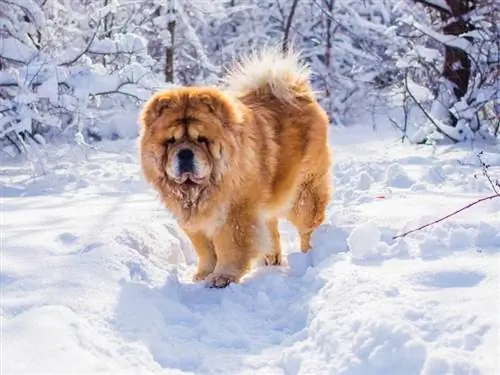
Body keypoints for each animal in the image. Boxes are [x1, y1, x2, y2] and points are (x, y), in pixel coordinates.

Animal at [139, 47, 332, 288]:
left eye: (202, 140)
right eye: (170, 141)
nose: (184, 153)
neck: (201, 191)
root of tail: (299, 92)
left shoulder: (235, 214)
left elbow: (230, 247)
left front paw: (222, 277)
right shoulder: (196, 222)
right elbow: (205, 250)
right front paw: (203, 275)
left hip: (303, 196)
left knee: (308, 228)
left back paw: (310, 255)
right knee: (271, 227)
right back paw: (272, 259)